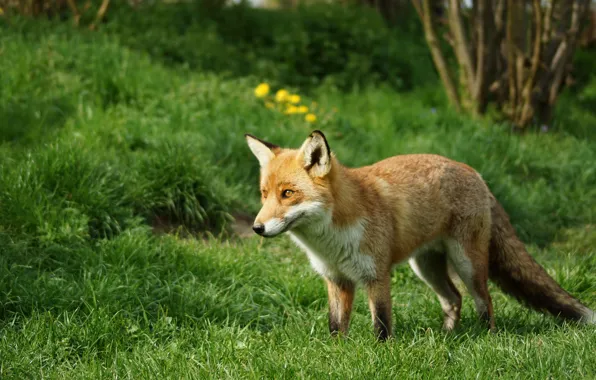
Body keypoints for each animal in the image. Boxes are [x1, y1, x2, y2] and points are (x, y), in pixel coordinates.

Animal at [243, 129, 596, 340]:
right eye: (264, 194)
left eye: (288, 194)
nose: (257, 228)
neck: (331, 239)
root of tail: (474, 172)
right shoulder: (336, 279)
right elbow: (335, 325)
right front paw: (335, 352)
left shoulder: (376, 275)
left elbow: (382, 324)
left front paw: (381, 354)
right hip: (425, 268)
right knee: (453, 299)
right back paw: (448, 336)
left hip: (467, 264)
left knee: (484, 300)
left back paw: (487, 336)